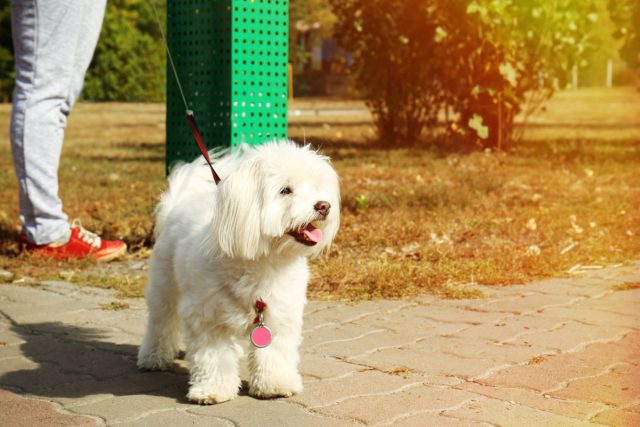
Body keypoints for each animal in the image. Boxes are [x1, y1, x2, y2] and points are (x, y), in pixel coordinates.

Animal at [138, 140, 342, 404]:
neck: (264, 262)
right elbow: (213, 356)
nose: (324, 206)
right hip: (164, 285)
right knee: (161, 321)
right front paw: (213, 389)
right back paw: (153, 357)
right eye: (285, 190)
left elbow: (275, 352)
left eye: (316, 187)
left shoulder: (280, 314)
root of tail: (180, 204)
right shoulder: (207, 317)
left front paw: (275, 384)